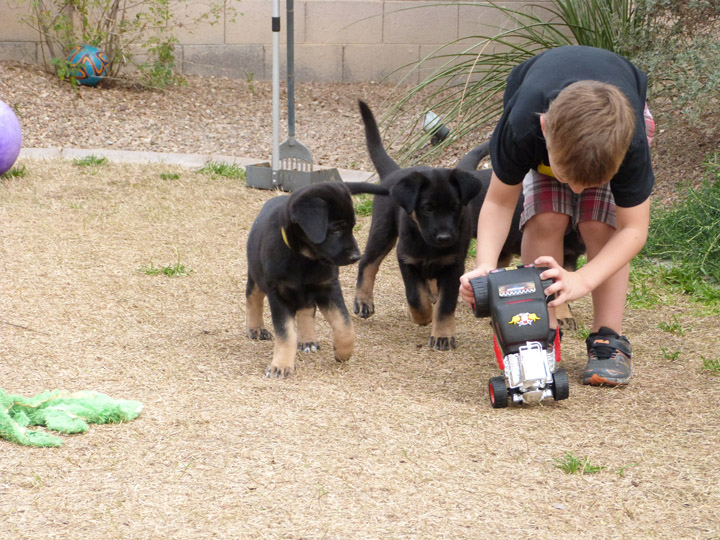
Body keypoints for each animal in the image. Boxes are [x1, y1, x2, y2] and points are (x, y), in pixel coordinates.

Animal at [246, 179, 388, 378]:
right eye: (335, 229)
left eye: (352, 226)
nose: (356, 257)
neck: (304, 259)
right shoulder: (278, 294)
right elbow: (286, 334)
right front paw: (281, 365)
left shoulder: (328, 287)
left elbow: (344, 324)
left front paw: (343, 352)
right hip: (255, 275)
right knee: (253, 298)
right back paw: (256, 329)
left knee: (306, 310)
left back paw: (308, 340)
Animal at [354, 100, 490, 350]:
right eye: (428, 208)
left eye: (455, 207)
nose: (445, 238)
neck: (428, 245)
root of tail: (395, 172)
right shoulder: (406, 259)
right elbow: (415, 297)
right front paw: (423, 316)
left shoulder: (454, 265)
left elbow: (445, 305)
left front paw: (442, 336)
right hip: (382, 230)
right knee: (368, 262)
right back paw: (363, 301)